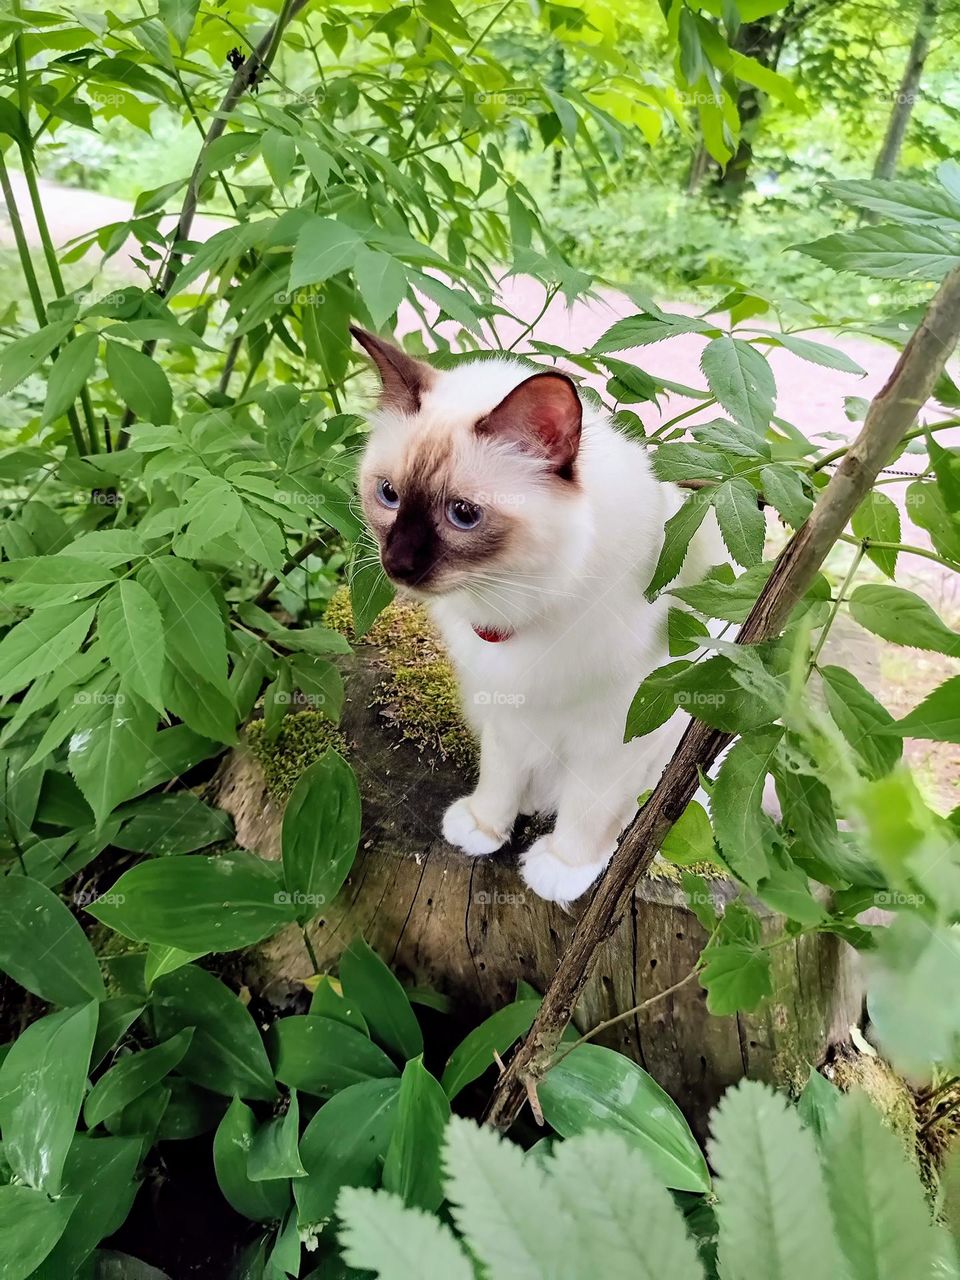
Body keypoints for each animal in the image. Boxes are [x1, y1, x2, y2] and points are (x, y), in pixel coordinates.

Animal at [350, 330, 721, 911]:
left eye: (463, 515)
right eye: (388, 495)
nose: (397, 565)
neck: (512, 606)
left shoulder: (614, 732)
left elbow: (590, 810)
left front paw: (562, 869)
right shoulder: (507, 709)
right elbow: (499, 776)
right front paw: (485, 827)